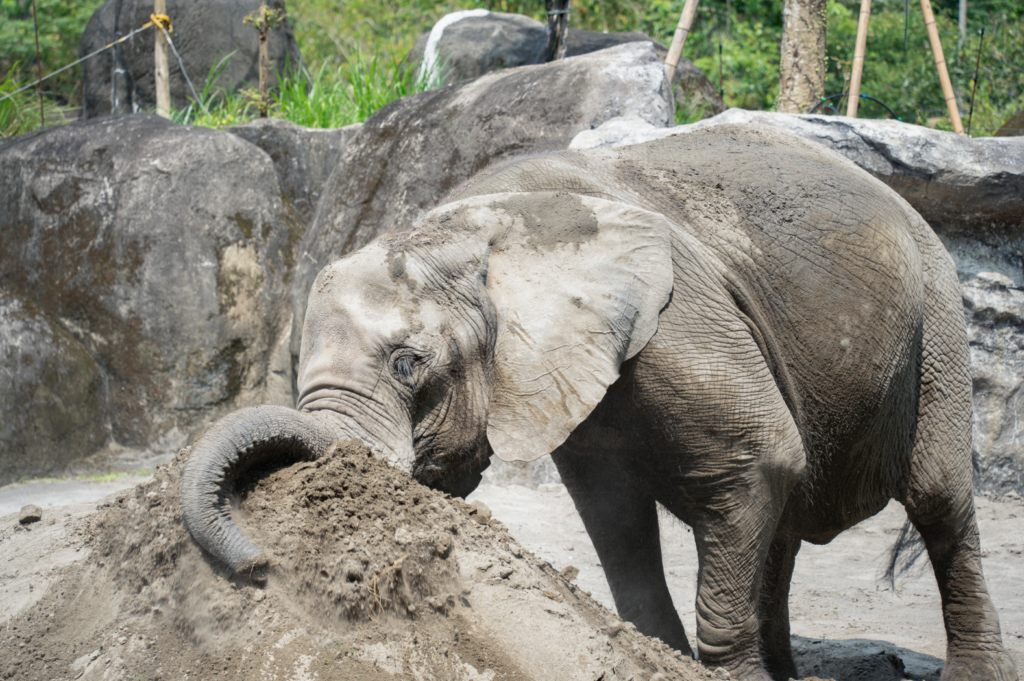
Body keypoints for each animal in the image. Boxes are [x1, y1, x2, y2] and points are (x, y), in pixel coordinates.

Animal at [182, 125, 1018, 681]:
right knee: (781, 521)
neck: (465, 228)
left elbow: (761, 455)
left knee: (938, 500)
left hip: (936, 313)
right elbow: (614, 515)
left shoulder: (680, 322)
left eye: (408, 363)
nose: (258, 565)